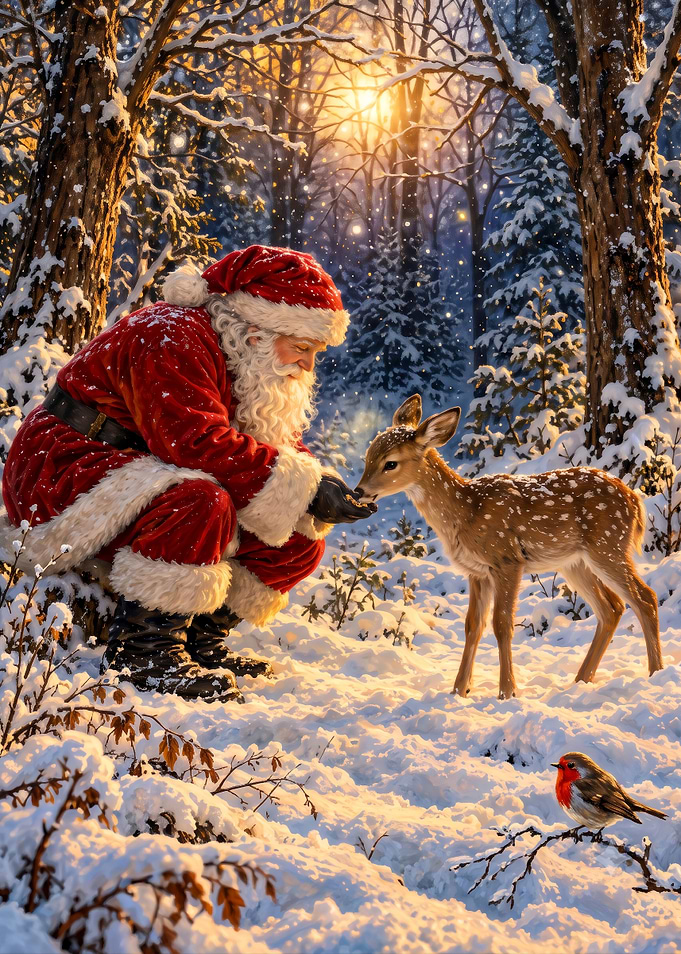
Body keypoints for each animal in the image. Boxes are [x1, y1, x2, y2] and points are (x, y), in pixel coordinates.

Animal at [355, 394, 663, 700]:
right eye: (368, 455)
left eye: (390, 463)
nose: (359, 491)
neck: (466, 512)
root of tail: (635, 501)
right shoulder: (476, 572)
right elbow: (472, 626)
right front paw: (458, 691)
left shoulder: (507, 559)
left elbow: (502, 626)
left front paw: (507, 692)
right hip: (574, 562)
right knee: (612, 608)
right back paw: (581, 680)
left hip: (608, 545)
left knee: (645, 597)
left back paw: (655, 673)